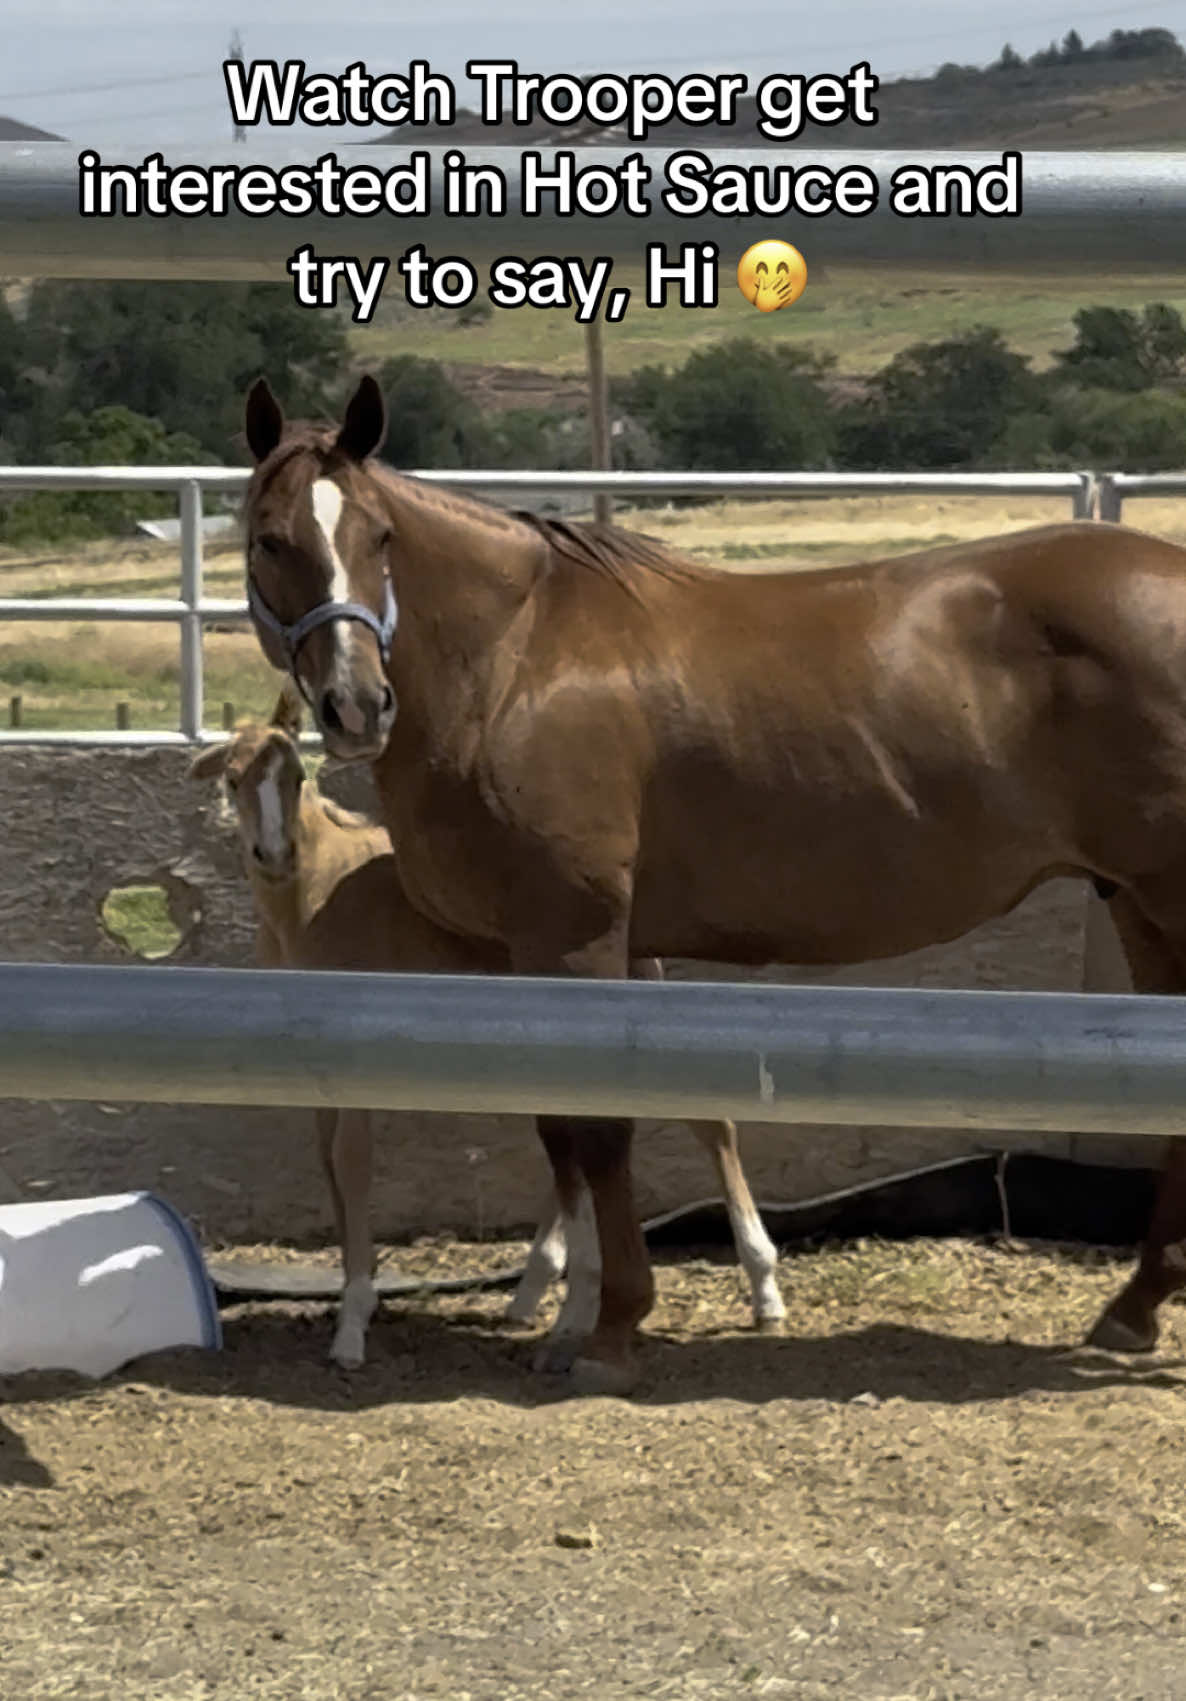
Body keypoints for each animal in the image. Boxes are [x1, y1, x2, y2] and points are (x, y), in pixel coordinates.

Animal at [191, 687, 784, 1366]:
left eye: (296, 777)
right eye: (234, 779)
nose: (275, 856)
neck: (311, 896)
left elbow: (354, 1163)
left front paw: (353, 1324)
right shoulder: (310, 1065)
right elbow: (331, 1169)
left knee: (708, 1123)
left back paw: (763, 1290)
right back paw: (535, 1293)